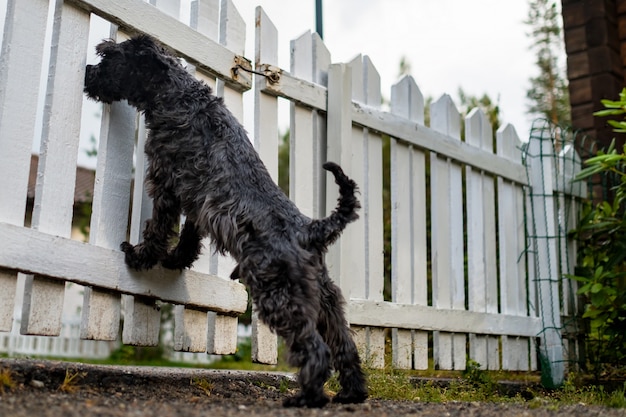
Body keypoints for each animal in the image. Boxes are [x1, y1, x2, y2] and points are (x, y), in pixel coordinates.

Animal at [83, 35, 366, 406]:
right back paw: (352, 393)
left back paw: (305, 397)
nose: (88, 71)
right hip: (327, 301)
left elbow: (159, 228)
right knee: (345, 346)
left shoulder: (165, 184)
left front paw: (140, 256)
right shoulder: (196, 202)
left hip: (279, 295)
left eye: (109, 56)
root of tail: (310, 229)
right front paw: (176, 261)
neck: (177, 94)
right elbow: (189, 237)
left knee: (315, 349)